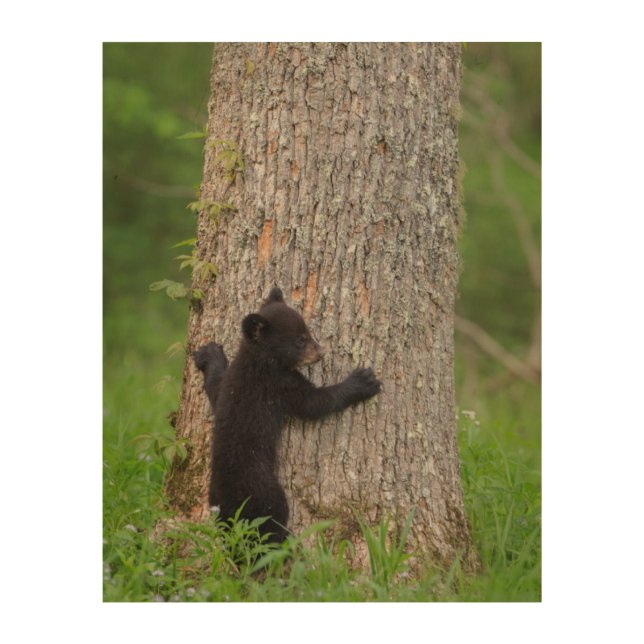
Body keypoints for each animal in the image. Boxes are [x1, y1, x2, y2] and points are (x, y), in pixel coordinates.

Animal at [193, 286, 381, 543]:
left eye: (307, 332)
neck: (260, 360)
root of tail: (229, 506)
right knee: (271, 522)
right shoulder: (278, 385)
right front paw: (362, 381)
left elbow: (215, 388)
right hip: (264, 490)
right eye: (300, 340)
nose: (321, 352)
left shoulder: (230, 385)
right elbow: (314, 403)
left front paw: (209, 353)